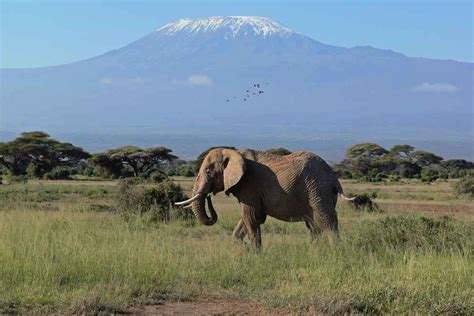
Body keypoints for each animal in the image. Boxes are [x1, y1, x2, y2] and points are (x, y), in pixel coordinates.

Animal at [176, 149, 354, 249]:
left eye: (208, 172)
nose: (208, 196)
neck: (234, 152)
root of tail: (333, 176)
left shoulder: (250, 185)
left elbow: (250, 217)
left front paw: (255, 254)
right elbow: (248, 219)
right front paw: (244, 249)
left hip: (318, 190)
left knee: (326, 223)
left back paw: (336, 253)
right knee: (313, 226)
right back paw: (314, 252)